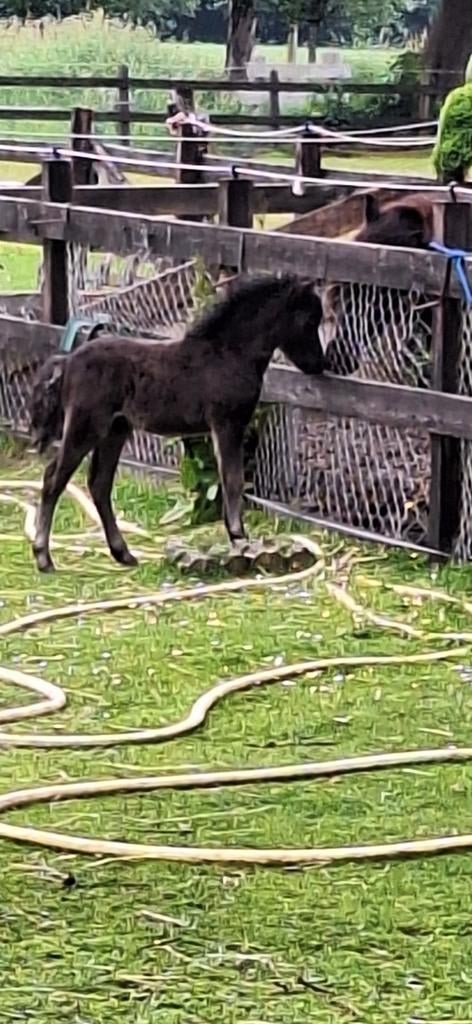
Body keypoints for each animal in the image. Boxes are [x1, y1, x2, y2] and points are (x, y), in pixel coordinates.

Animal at [29, 274, 325, 573]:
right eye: (309, 320)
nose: (319, 365)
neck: (228, 353)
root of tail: (68, 361)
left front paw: (237, 537)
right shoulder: (227, 424)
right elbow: (233, 480)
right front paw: (239, 538)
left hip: (116, 430)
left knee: (99, 484)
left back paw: (123, 553)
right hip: (85, 426)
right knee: (54, 478)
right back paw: (44, 557)